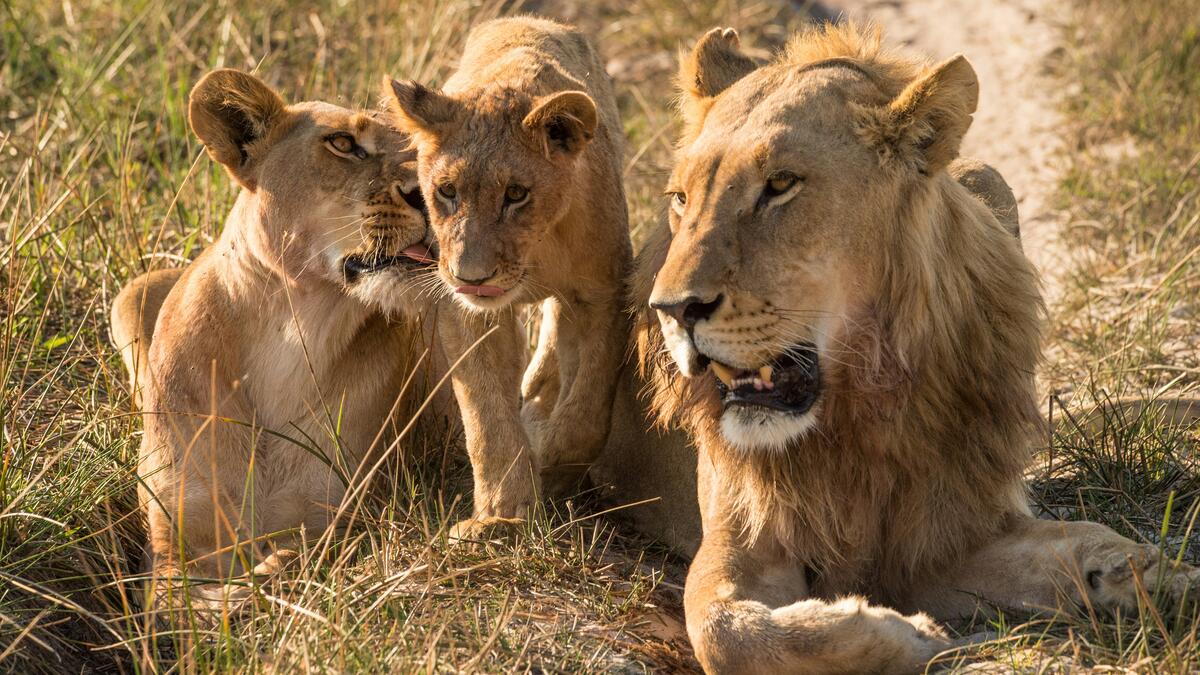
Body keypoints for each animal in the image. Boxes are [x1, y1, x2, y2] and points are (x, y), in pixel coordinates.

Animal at [110, 69, 532, 602]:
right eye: (343, 143)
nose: (435, 195)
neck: (293, 333)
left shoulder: (340, 513)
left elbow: (300, 556)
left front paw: (261, 581)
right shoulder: (175, 527)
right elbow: (170, 594)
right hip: (131, 294)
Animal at [384, 16, 633, 500]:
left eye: (516, 194)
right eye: (447, 191)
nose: (471, 276)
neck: (538, 251)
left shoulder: (604, 296)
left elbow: (588, 412)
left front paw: (552, 465)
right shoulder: (467, 312)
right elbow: (488, 419)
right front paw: (505, 508)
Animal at [627, 24, 1200, 672]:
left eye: (780, 185)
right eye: (680, 198)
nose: (671, 310)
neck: (859, 405)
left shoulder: (944, 534)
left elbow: (1072, 542)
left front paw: (1155, 578)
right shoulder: (736, 545)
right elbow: (731, 632)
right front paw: (911, 635)